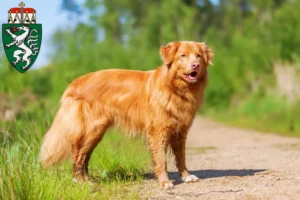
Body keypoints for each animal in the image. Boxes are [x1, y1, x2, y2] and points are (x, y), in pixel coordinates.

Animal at [39, 40, 213, 188]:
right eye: (183, 55)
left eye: (198, 55)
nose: (196, 65)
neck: (176, 88)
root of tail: (75, 82)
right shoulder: (158, 131)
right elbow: (161, 159)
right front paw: (165, 182)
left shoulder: (181, 131)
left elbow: (181, 157)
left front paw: (186, 176)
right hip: (91, 129)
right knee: (78, 156)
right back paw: (81, 182)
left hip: (96, 133)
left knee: (85, 156)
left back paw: (87, 179)